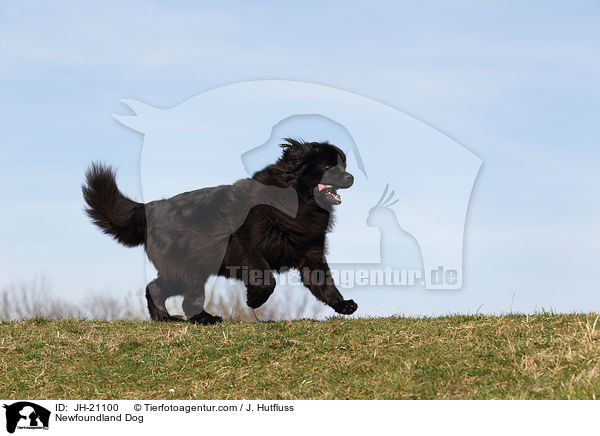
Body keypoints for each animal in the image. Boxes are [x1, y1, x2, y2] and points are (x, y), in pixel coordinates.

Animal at [83, 139, 356, 324]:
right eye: (328, 166)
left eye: (343, 164)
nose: (351, 177)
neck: (295, 201)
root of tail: (150, 207)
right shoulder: (250, 249)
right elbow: (267, 279)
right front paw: (254, 300)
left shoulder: (311, 254)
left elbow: (325, 284)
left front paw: (343, 305)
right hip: (187, 270)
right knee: (182, 298)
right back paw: (205, 319)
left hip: (186, 270)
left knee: (156, 288)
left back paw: (166, 318)